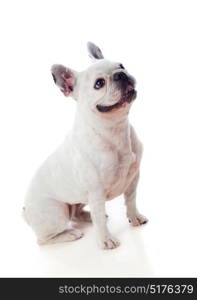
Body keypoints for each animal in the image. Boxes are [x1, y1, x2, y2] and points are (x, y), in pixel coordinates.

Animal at [23, 41, 147, 248]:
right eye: (99, 84)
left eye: (121, 65)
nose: (120, 74)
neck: (114, 130)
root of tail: (25, 210)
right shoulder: (96, 192)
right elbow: (99, 217)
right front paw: (106, 240)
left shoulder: (133, 178)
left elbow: (131, 200)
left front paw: (134, 217)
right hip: (56, 213)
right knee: (44, 239)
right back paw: (70, 234)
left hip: (78, 200)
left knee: (76, 213)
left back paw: (87, 217)